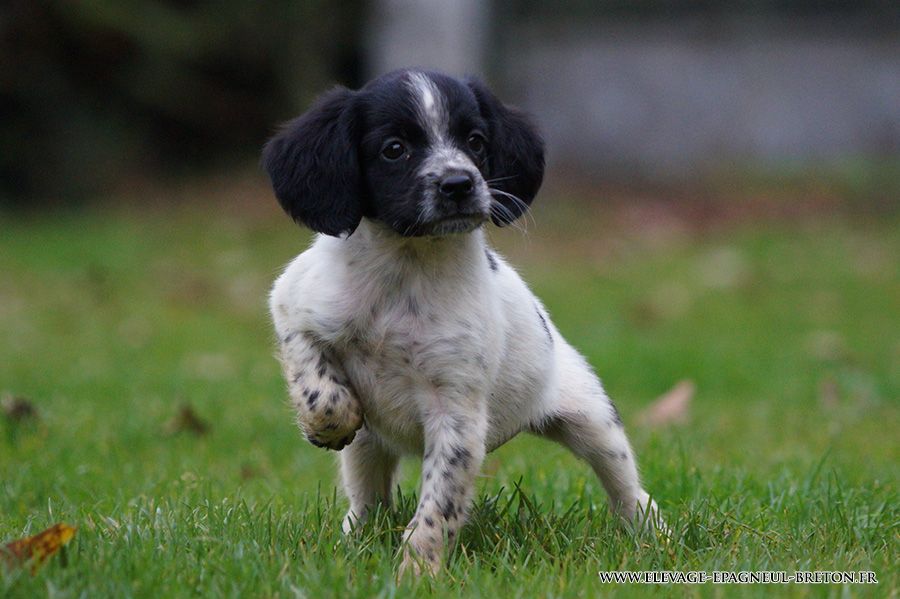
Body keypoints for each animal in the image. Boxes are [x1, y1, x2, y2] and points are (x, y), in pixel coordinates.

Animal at [260, 68, 660, 576]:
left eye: (475, 141)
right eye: (394, 148)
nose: (459, 183)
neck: (406, 268)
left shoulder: (456, 414)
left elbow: (439, 503)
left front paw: (417, 570)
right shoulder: (292, 302)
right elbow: (314, 375)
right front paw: (327, 422)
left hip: (593, 423)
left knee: (629, 490)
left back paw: (652, 536)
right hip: (368, 448)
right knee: (368, 501)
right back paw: (355, 539)